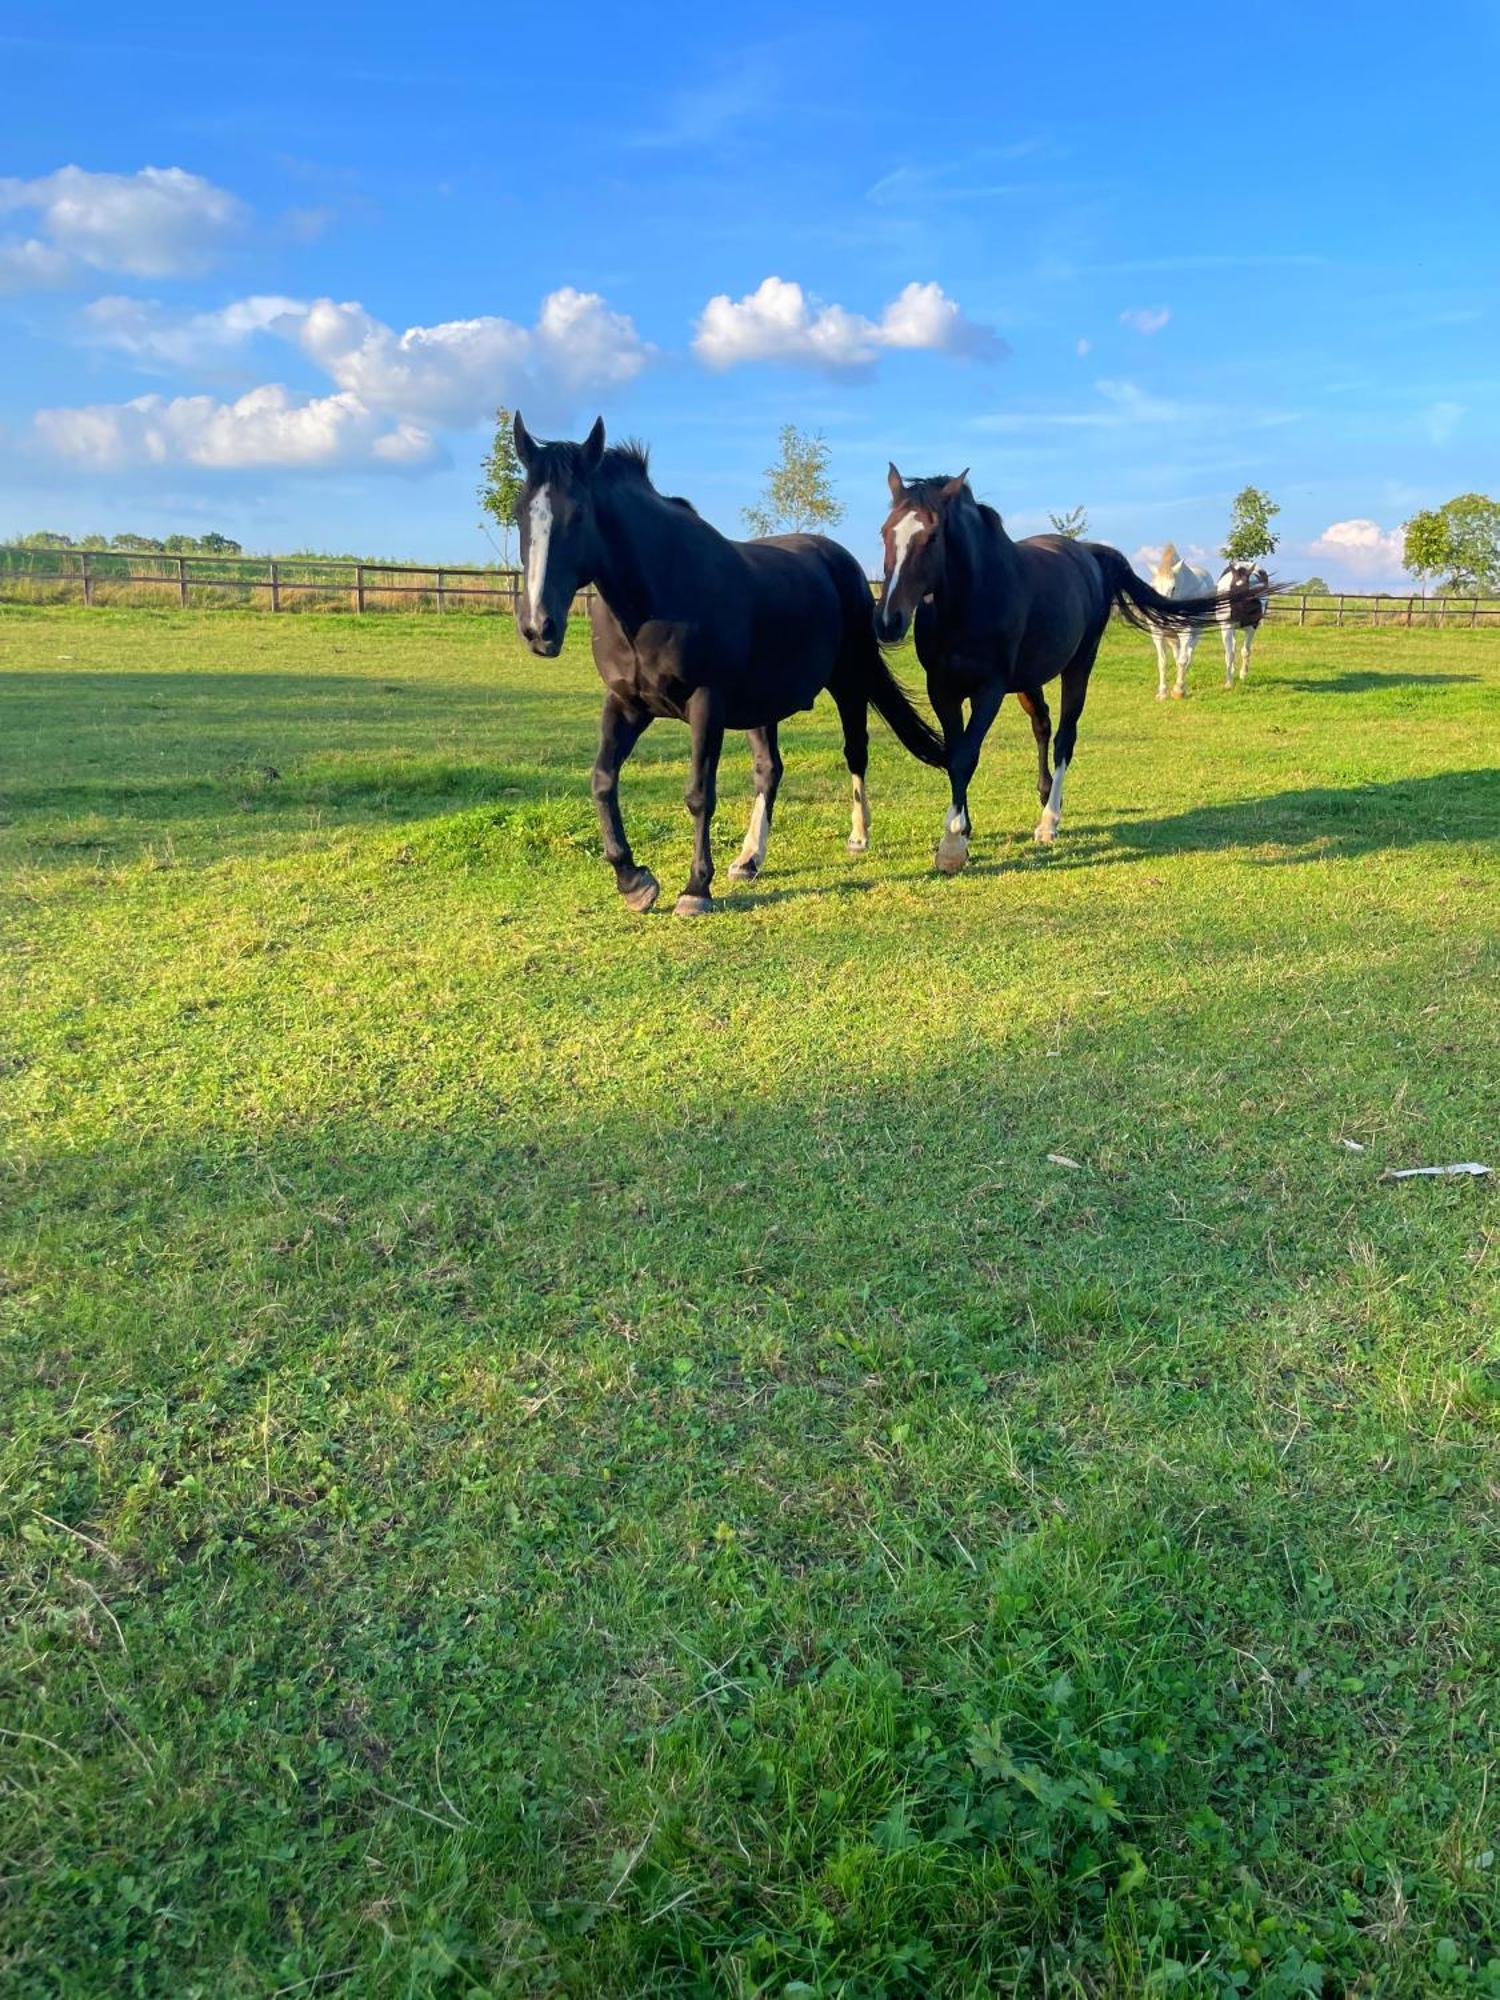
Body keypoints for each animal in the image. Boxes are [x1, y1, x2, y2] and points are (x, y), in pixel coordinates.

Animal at [512, 422, 944, 920]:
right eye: (521, 512)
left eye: (578, 514)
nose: (539, 627)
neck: (654, 598)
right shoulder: (626, 704)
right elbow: (602, 781)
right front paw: (633, 881)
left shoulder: (707, 703)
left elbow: (699, 793)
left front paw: (695, 888)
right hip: (763, 707)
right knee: (769, 770)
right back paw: (749, 858)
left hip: (848, 684)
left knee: (855, 752)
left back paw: (857, 836)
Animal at [1152, 544, 1224, 700]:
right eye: (1153, 587)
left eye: (1173, 587)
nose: (1161, 616)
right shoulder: (1158, 634)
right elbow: (1162, 662)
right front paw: (1162, 693)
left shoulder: (1185, 632)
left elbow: (1183, 660)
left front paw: (1178, 690)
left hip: (1196, 632)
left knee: (1188, 656)